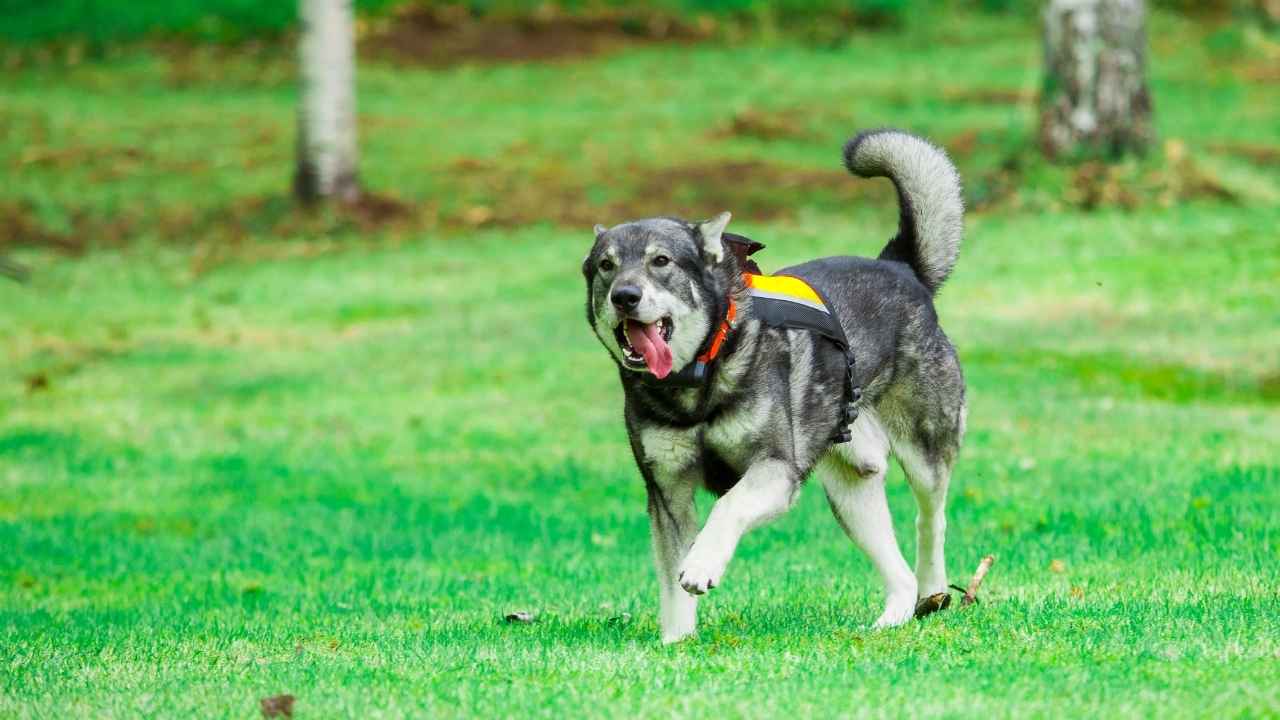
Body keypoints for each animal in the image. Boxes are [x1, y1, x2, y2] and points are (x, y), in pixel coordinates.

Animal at [586, 127, 962, 638]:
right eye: (605, 266)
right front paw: (677, 642)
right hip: (852, 486)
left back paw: (935, 592)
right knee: (897, 569)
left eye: (661, 261)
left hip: (925, 452)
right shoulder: (668, 492)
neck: (701, 376)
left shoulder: (776, 472)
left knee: (931, 522)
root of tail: (901, 268)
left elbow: (726, 508)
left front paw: (702, 565)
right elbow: (671, 583)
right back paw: (890, 620)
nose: (625, 296)